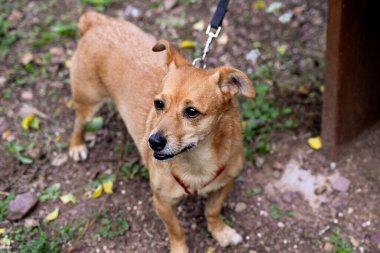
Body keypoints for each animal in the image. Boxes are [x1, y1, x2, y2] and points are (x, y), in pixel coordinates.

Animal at [69, 12, 255, 253]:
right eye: (158, 104)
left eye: (192, 112)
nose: (153, 142)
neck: (196, 162)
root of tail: (97, 21)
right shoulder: (162, 202)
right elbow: (176, 230)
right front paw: (181, 248)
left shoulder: (224, 184)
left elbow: (212, 211)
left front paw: (220, 232)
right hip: (88, 103)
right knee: (78, 123)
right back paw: (77, 145)